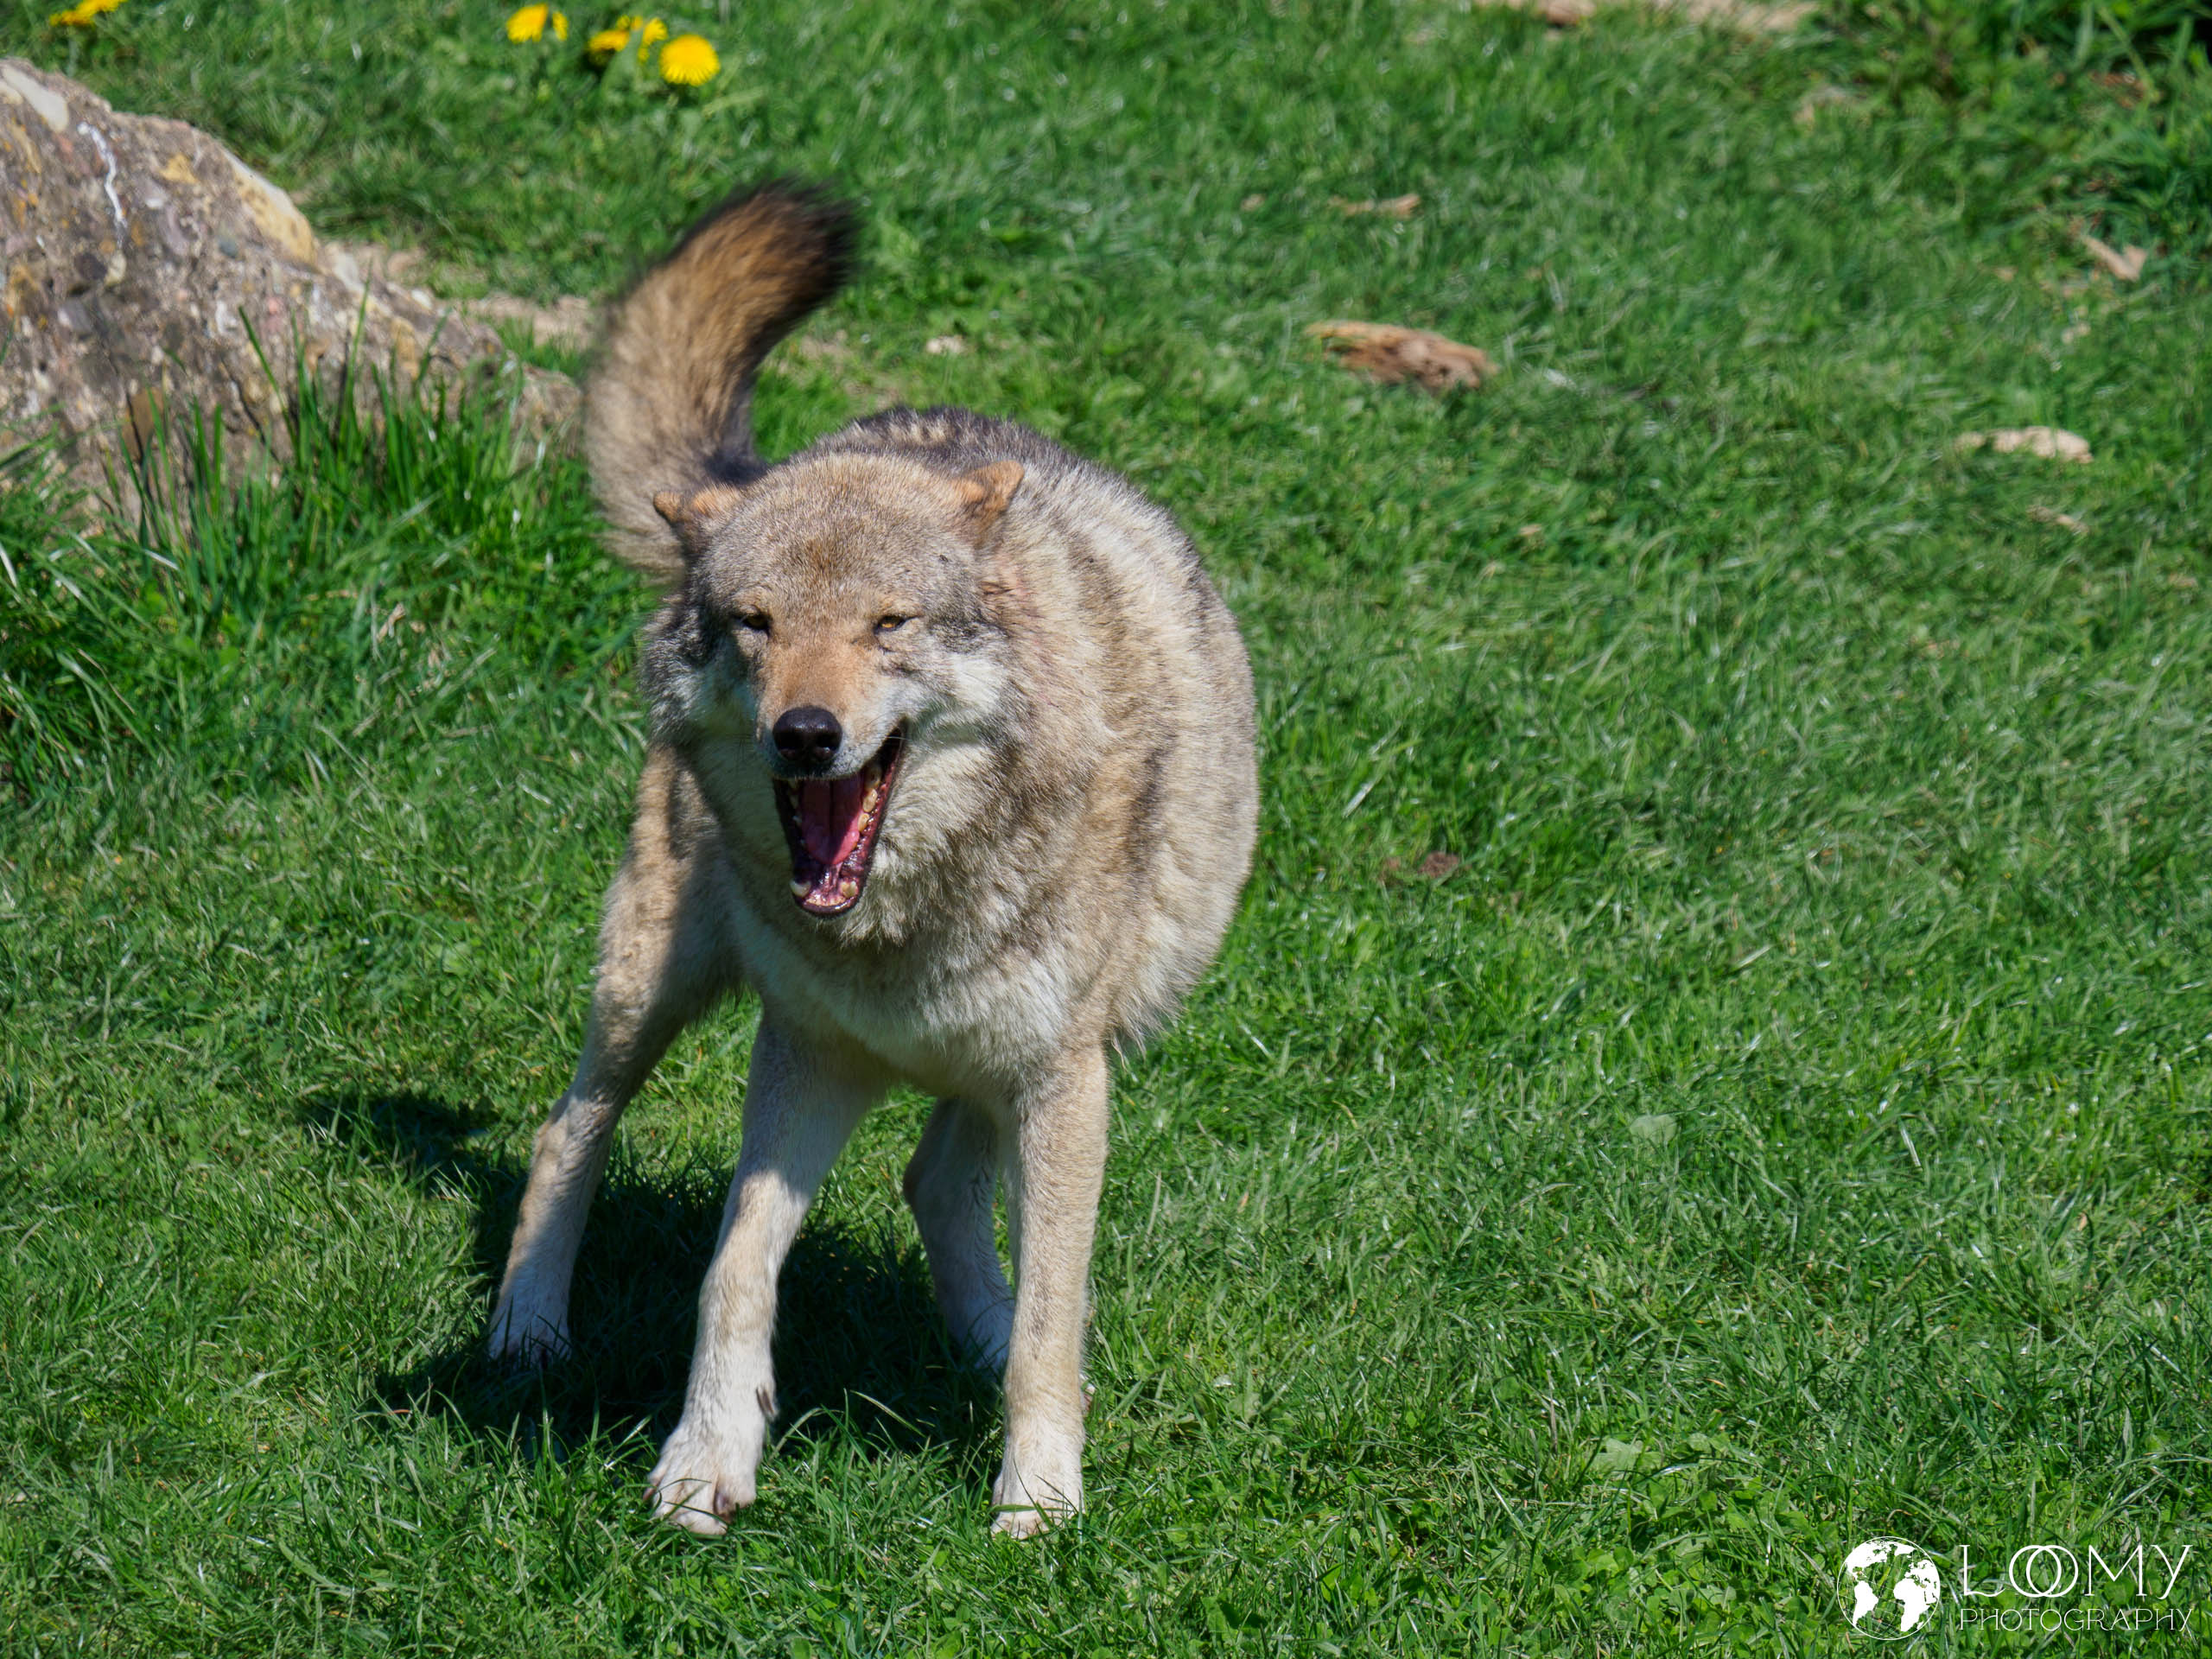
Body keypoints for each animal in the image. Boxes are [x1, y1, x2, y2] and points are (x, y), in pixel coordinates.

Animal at [485, 182, 1258, 1539]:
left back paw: (992, 1353)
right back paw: (528, 1328)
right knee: (567, 1129)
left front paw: (1037, 1498)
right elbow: (733, 1269)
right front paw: (705, 1459)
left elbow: (1056, 1306)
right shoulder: (803, 1056)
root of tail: (772, 462)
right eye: (754, 624)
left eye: (888, 624)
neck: (900, 924)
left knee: (939, 1189)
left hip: (1021, 1063)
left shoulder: (1063, 1081)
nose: (804, 733)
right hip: (651, 985)